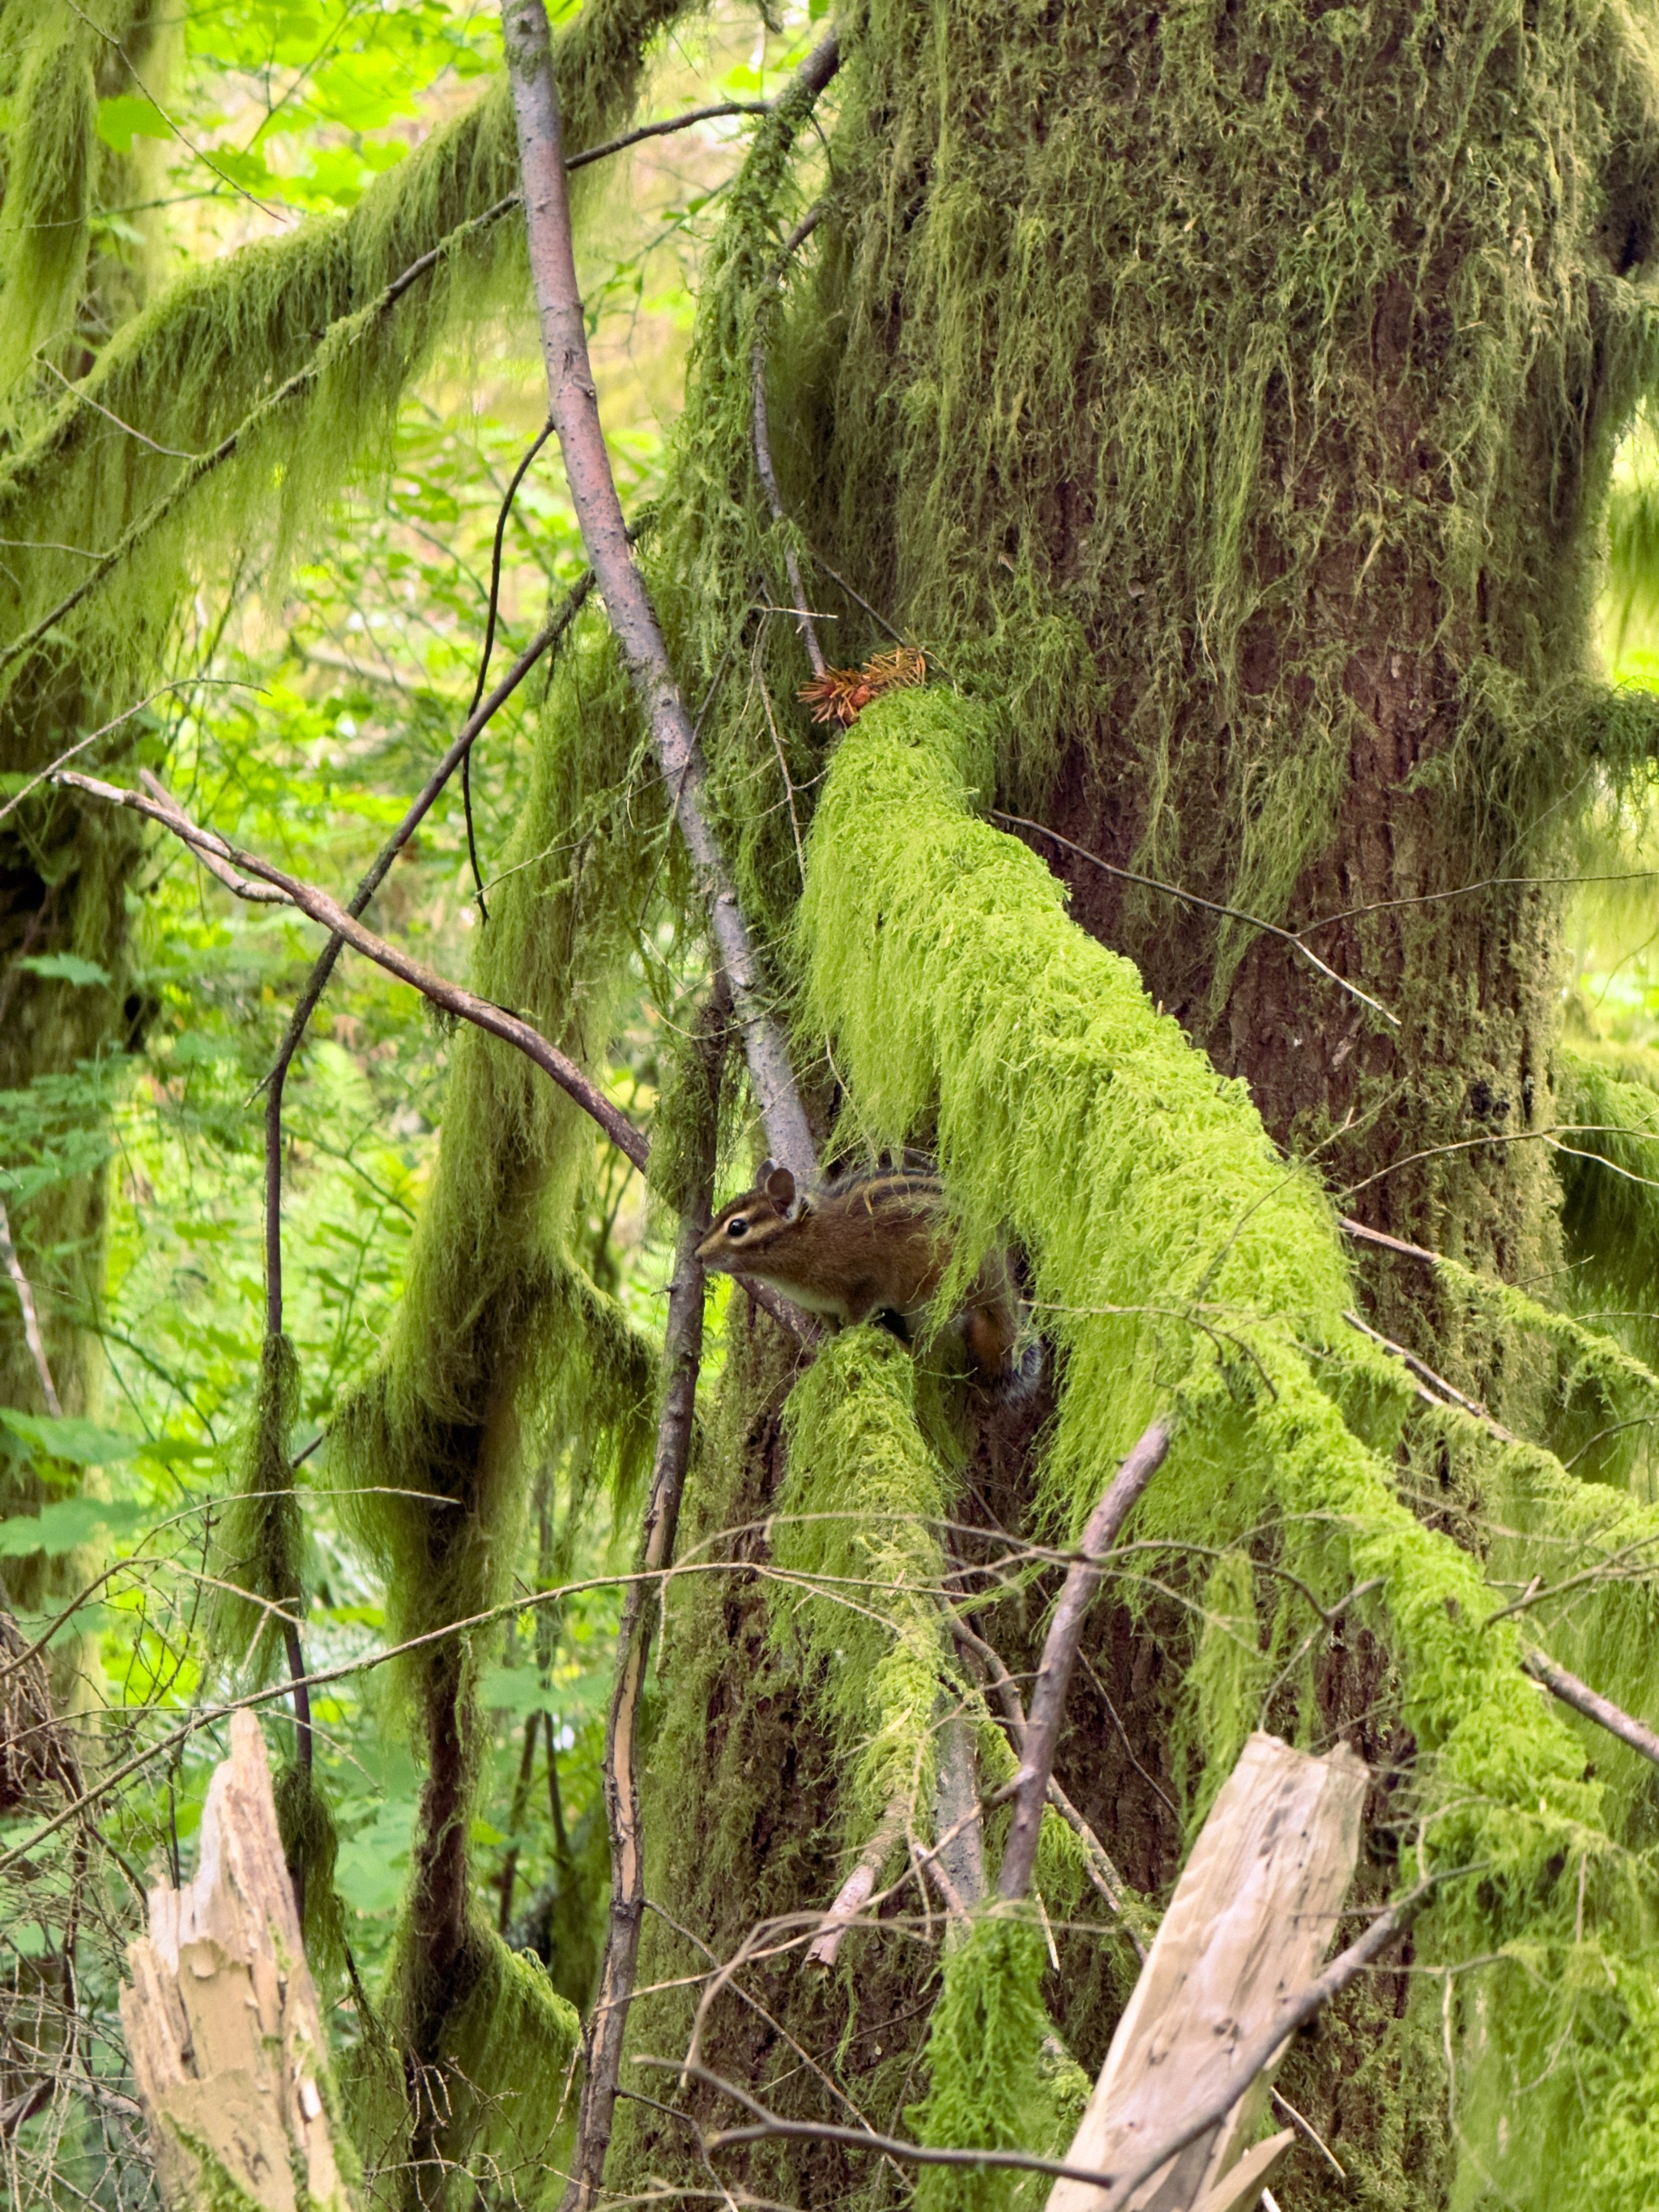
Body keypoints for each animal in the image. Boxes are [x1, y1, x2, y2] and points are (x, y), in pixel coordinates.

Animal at [695, 1158, 1040, 1398]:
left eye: (737, 1227)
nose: (697, 1255)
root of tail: (1000, 1281)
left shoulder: (865, 1287)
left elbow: (856, 1317)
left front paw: (847, 1342)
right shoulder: (820, 1305)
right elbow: (829, 1327)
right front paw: (828, 1347)